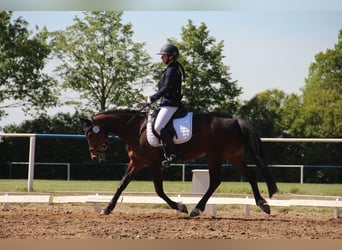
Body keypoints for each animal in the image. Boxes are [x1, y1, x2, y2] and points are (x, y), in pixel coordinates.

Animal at [80, 108, 278, 217]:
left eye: (90, 134)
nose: (95, 157)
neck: (135, 129)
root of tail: (235, 120)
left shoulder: (153, 162)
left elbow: (159, 190)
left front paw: (180, 206)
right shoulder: (137, 162)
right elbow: (122, 184)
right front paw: (107, 208)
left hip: (214, 156)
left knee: (215, 181)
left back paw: (196, 209)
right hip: (233, 156)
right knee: (249, 175)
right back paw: (262, 204)